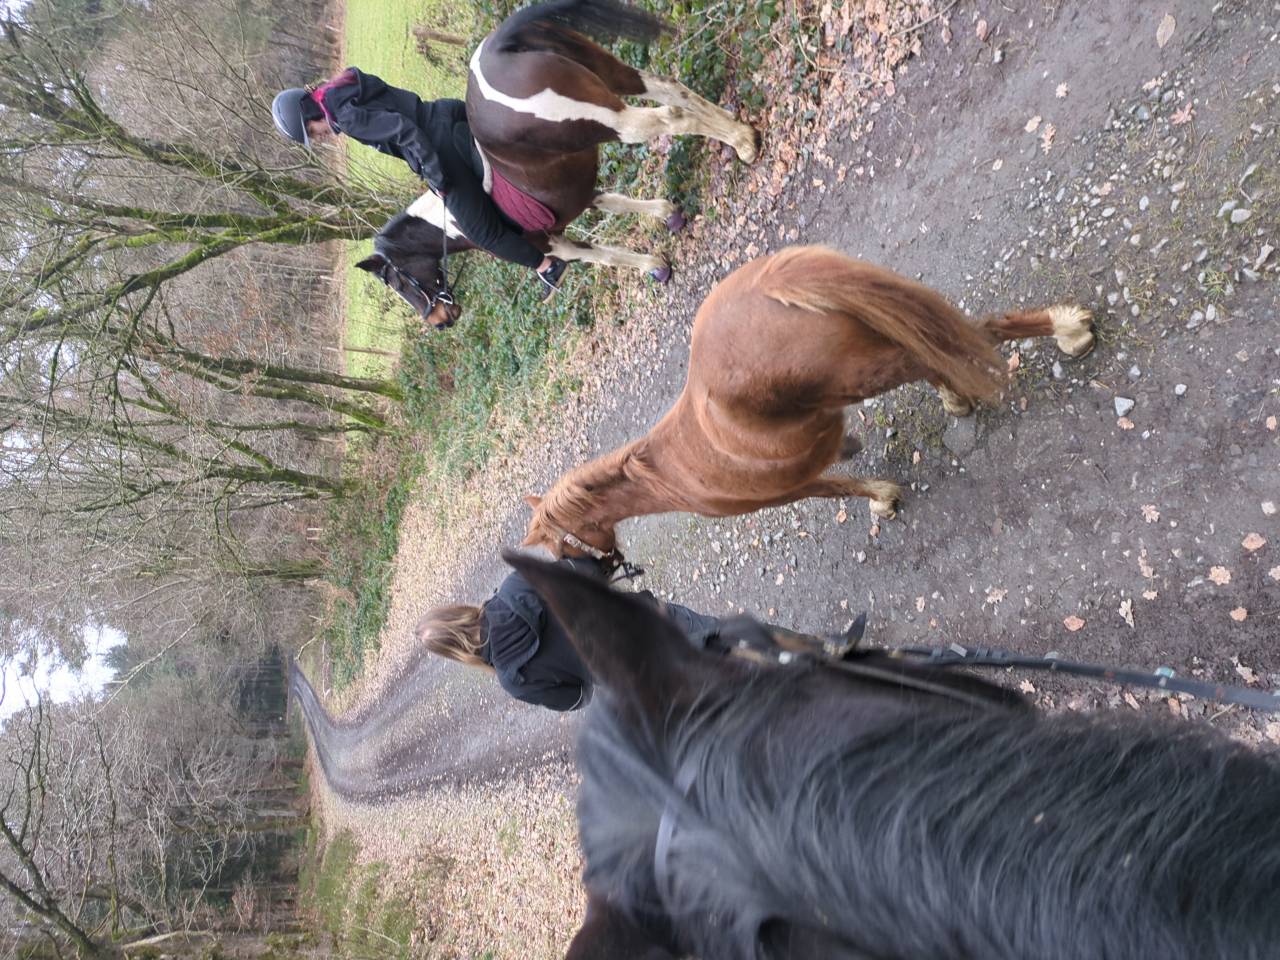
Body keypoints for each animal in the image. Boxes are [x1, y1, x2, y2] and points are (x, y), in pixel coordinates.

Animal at [356, 0, 760, 330]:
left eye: (399, 282)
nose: (440, 322)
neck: (450, 222)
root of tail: (498, 48)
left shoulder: (553, 245)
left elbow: (598, 255)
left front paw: (654, 267)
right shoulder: (575, 192)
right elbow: (615, 203)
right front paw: (666, 213)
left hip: (606, 120)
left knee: (666, 118)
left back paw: (743, 143)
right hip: (613, 74)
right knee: (671, 89)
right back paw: (739, 131)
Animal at [521, 245, 1095, 559]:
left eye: (560, 546)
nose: (607, 563)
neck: (667, 475)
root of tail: (770, 284)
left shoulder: (791, 490)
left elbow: (840, 487)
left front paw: (883, 498)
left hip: (861, 374)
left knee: (978, 334)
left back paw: (1069, 330)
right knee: (940, 347)